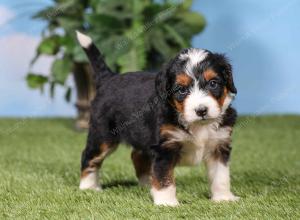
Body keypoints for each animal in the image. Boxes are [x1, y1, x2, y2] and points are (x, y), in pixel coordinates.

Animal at [77, 31, 239, 206]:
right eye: (181, 90)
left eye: (213, 83)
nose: (201, 110)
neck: (196, 124)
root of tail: (109, 78)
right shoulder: (164, 148)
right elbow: (164, 177)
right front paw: (167, 202)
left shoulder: (219, 144)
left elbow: (221, 176)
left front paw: (223, 198)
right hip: (103, 135)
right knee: (89, 156)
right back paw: (88, 187)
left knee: (137, 156)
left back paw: (147, 184)